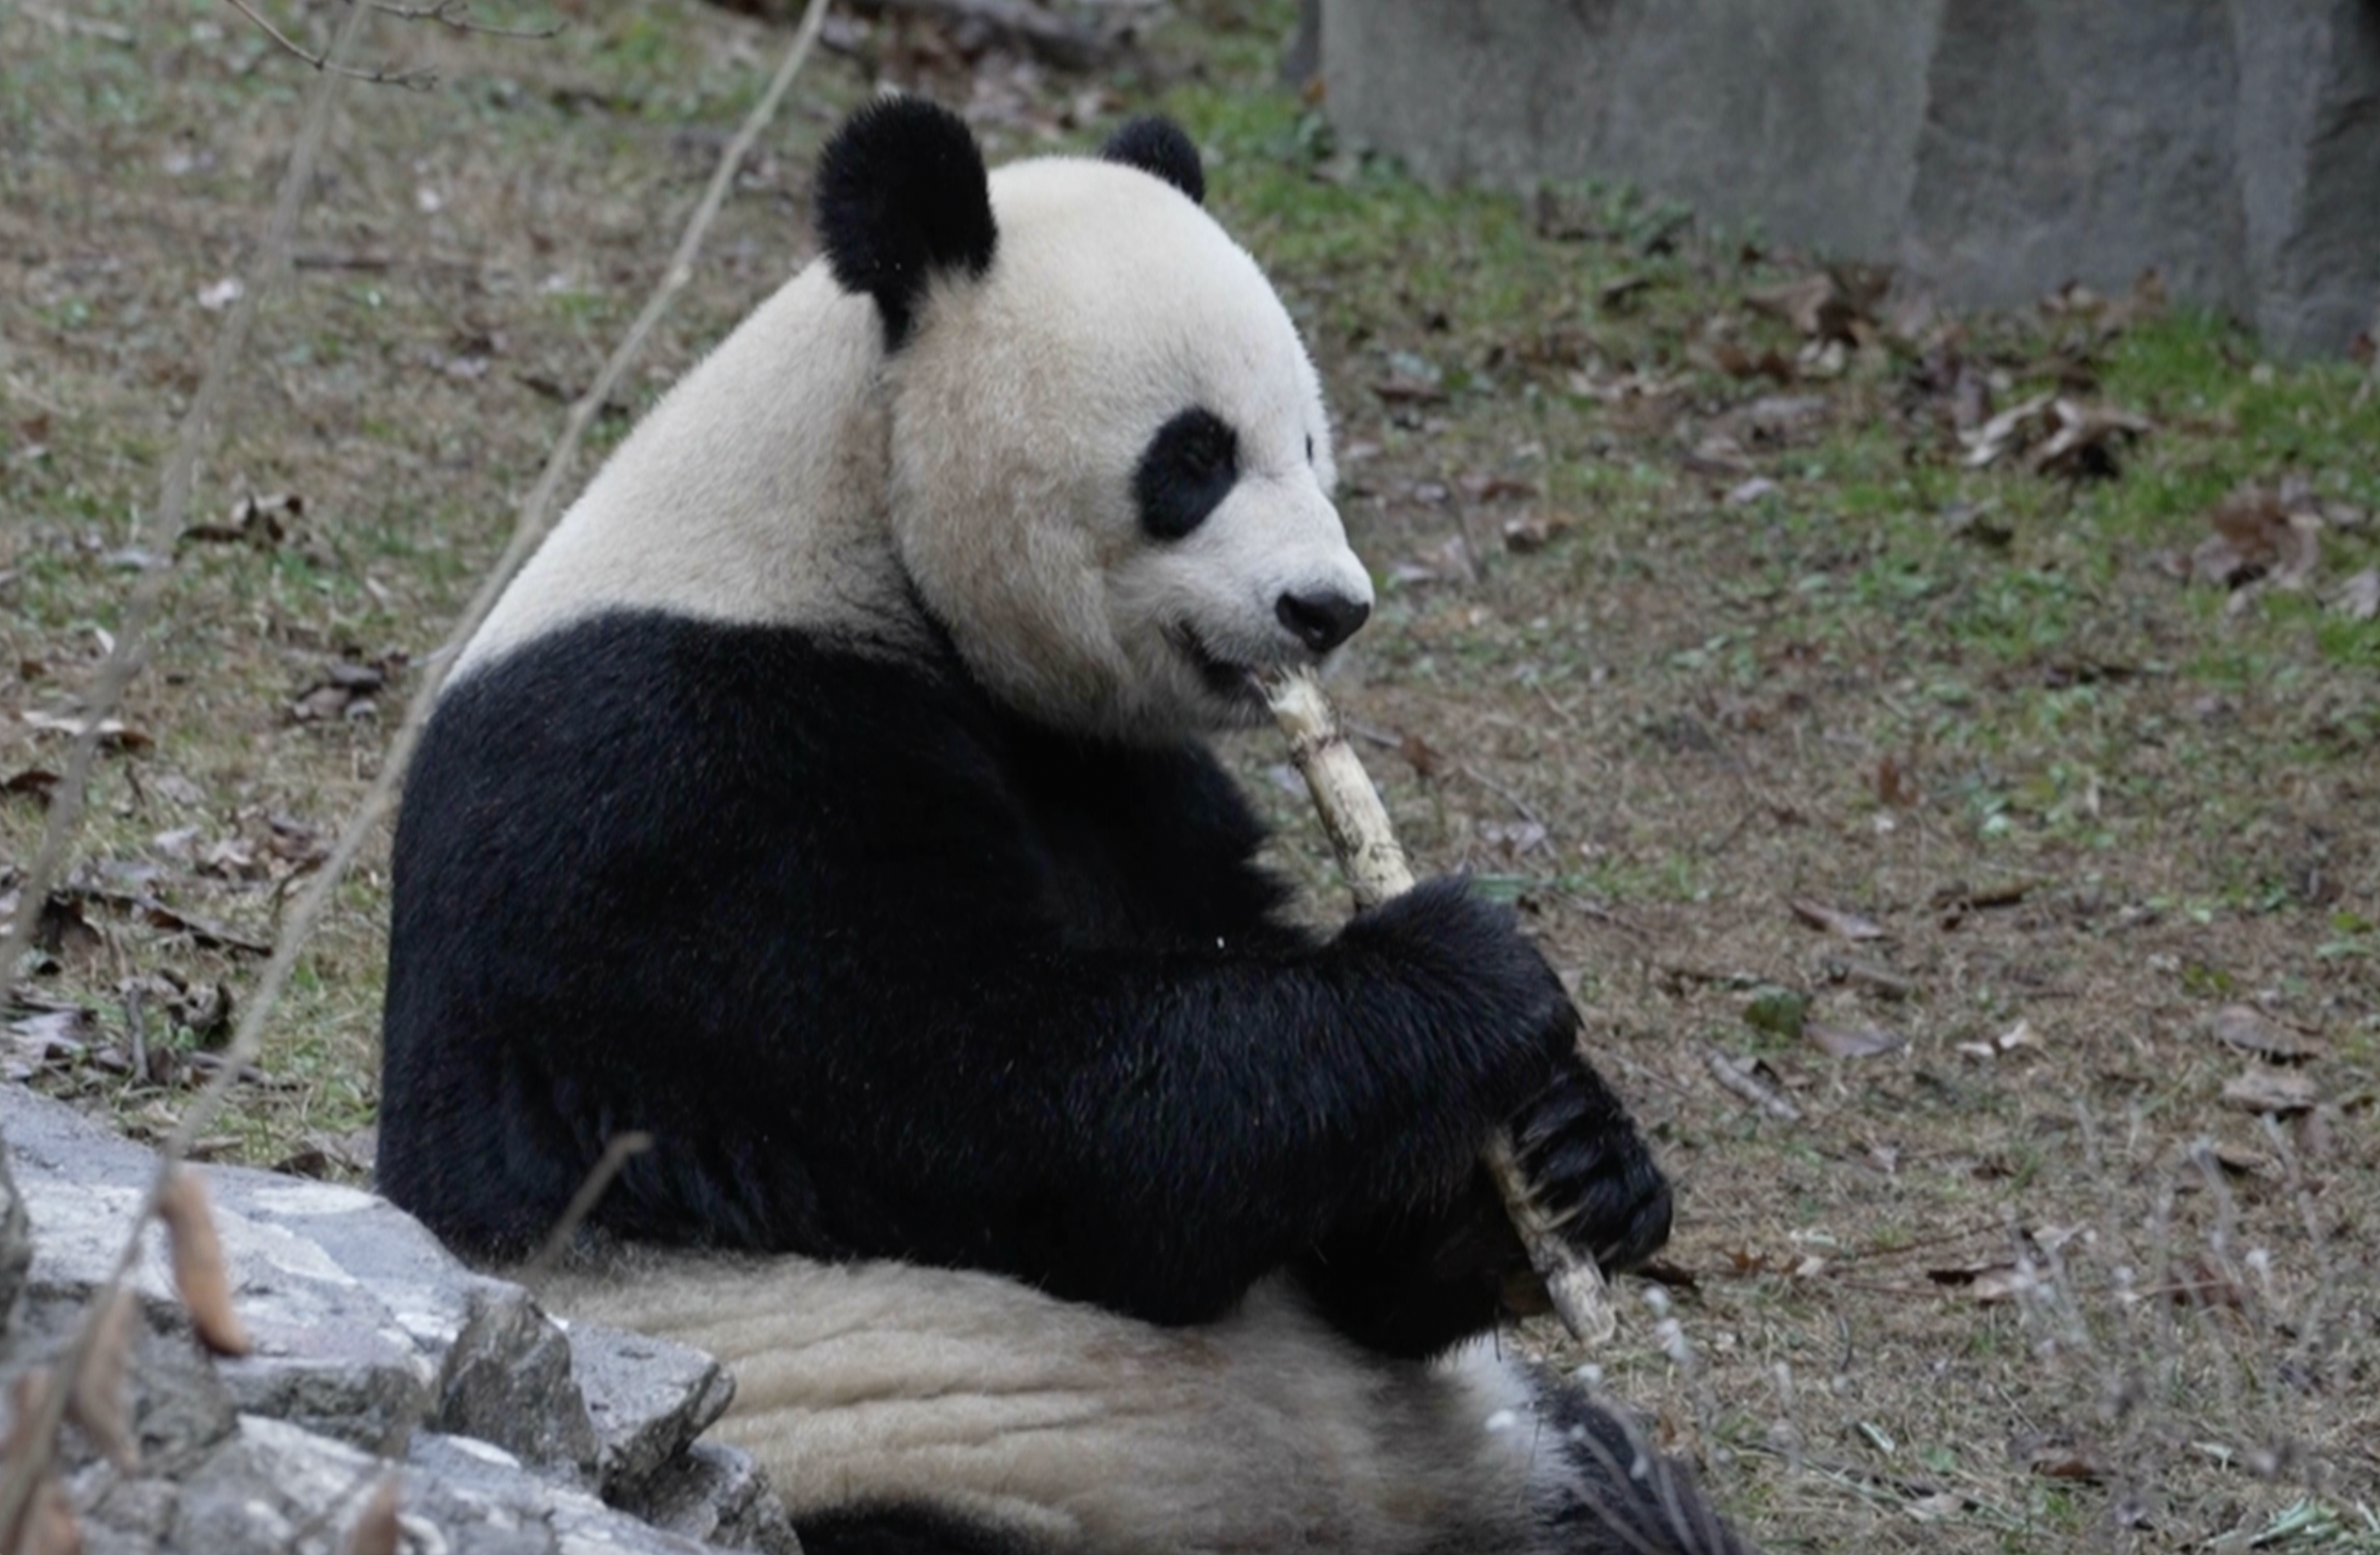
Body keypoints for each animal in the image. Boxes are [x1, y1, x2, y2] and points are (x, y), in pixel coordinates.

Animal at [378, 96, 1750, 1555]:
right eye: (1194, 456)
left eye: (1309, 446)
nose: (1328, 609)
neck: (852, 521)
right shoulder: (679, 780)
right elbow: (1032, 1117)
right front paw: (1464, 969)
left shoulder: (1126, 784)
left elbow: (1340, 1241)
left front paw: (1572, 1154)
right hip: (874, 1441)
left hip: (1485, 1456)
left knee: (1610, 1475)